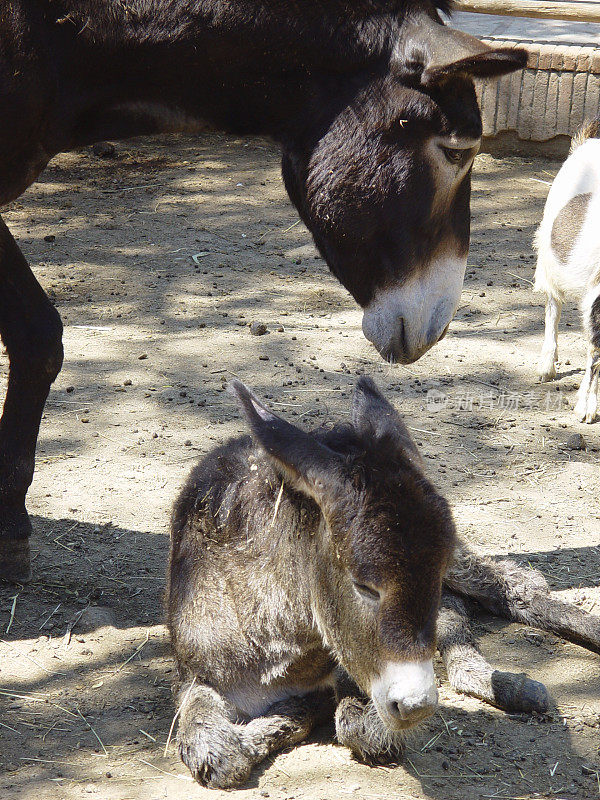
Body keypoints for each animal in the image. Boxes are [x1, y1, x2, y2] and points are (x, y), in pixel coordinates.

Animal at [166, 378, 600, 784]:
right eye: (363, 586)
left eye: (433, 575)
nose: (417, 706)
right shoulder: (197, 674)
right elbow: (214, 750)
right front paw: (263, 729)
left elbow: (362, 729)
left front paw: (296, 713)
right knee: (459, 621)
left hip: (462, 566)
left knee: (512, 588)